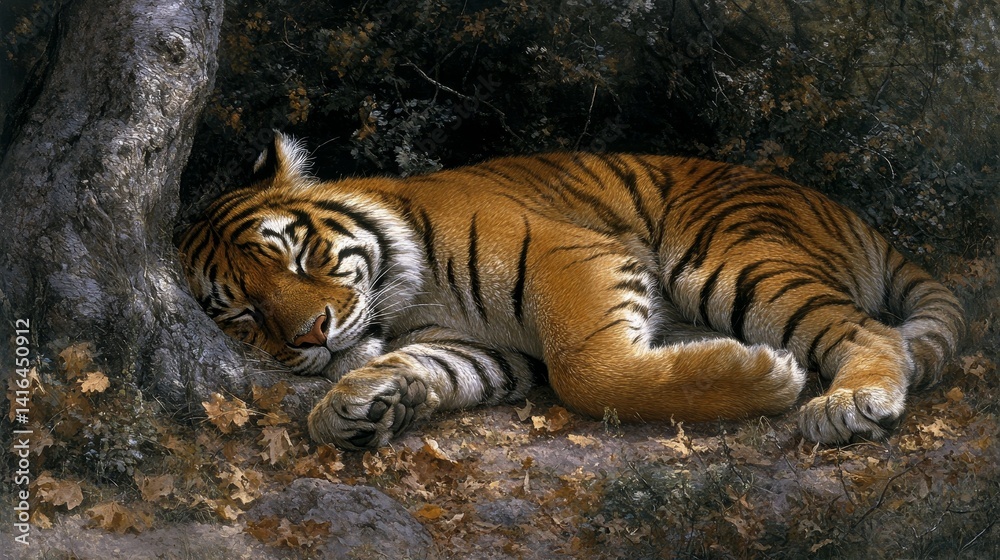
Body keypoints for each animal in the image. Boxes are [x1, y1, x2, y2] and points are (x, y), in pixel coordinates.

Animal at [178, 132, 964, 450]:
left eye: (299, 256)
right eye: (242, 314)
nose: (311, 334)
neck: (406, 300)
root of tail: (852, 214)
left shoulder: (576, 257)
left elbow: (588, 371)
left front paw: (765, 377)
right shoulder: (468, 346)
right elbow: (428, 368)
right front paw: (351, 407)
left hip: (730, 260)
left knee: (870, 329)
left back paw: (847, 405)